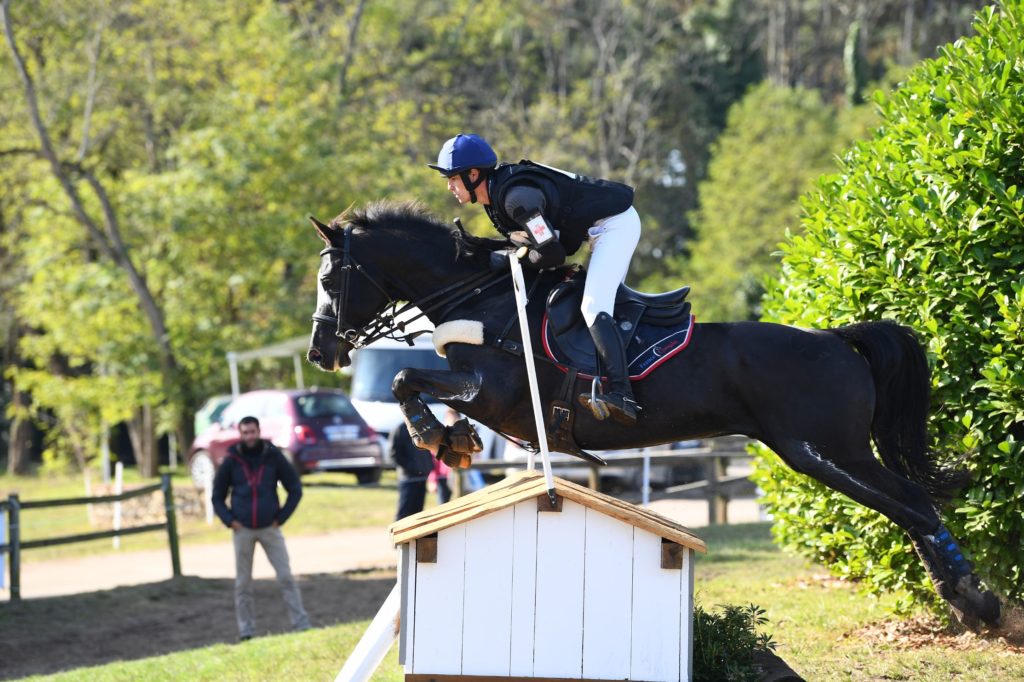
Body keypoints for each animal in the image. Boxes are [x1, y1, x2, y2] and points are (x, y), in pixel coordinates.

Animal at [303, 200, 999, 626]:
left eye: (333, 281)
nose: (320, 352)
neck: (483, 296)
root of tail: (835, 338)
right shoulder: (488, 398)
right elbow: (419, 386)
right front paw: (449, 442)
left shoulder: (492, 388)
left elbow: (405, 376)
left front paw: (434, 434)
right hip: (827, 452)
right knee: (909, 503)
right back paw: (962, 597)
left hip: (822, 451)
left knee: (913, 504)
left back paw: (977, 599)